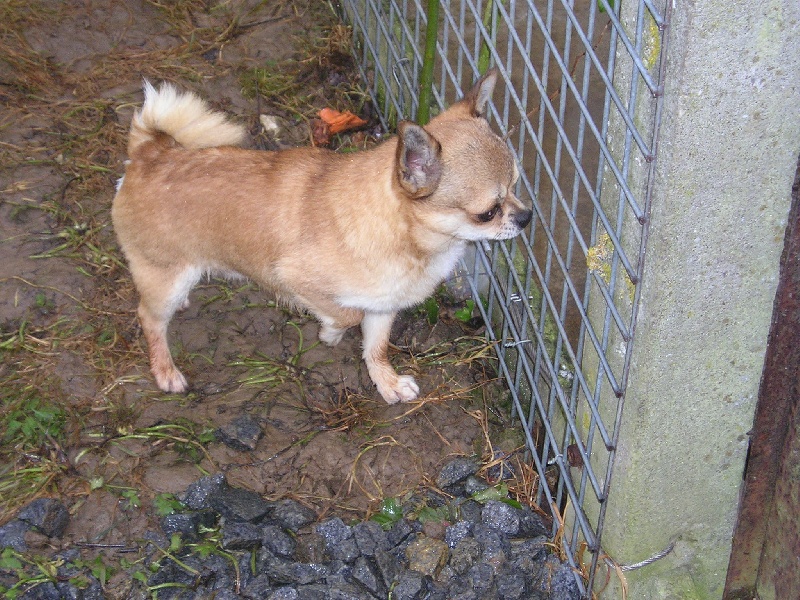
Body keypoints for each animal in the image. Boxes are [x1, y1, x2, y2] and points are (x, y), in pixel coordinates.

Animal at [112, 70, 532, 404]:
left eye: (516, 185)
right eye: (488, 213)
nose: (527, 216)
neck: (410, 239)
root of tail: (149, 153)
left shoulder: (383, 306)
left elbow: (376, 347)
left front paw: (387, 383)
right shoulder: (296, 278)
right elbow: (346, 314)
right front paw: (329, 332)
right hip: (166, 277)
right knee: (149, 318)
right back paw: (166, 371)